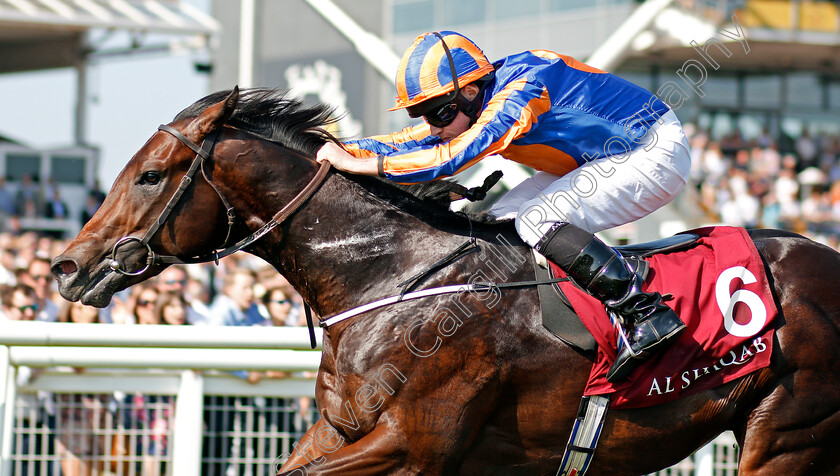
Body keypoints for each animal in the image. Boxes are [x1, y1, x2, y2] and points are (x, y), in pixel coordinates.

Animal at [50, 88, 840, 472]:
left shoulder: (415, 444)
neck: (387, 278)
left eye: (151, 175)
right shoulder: (338, 430)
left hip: (787, 431)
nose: (68, 266)